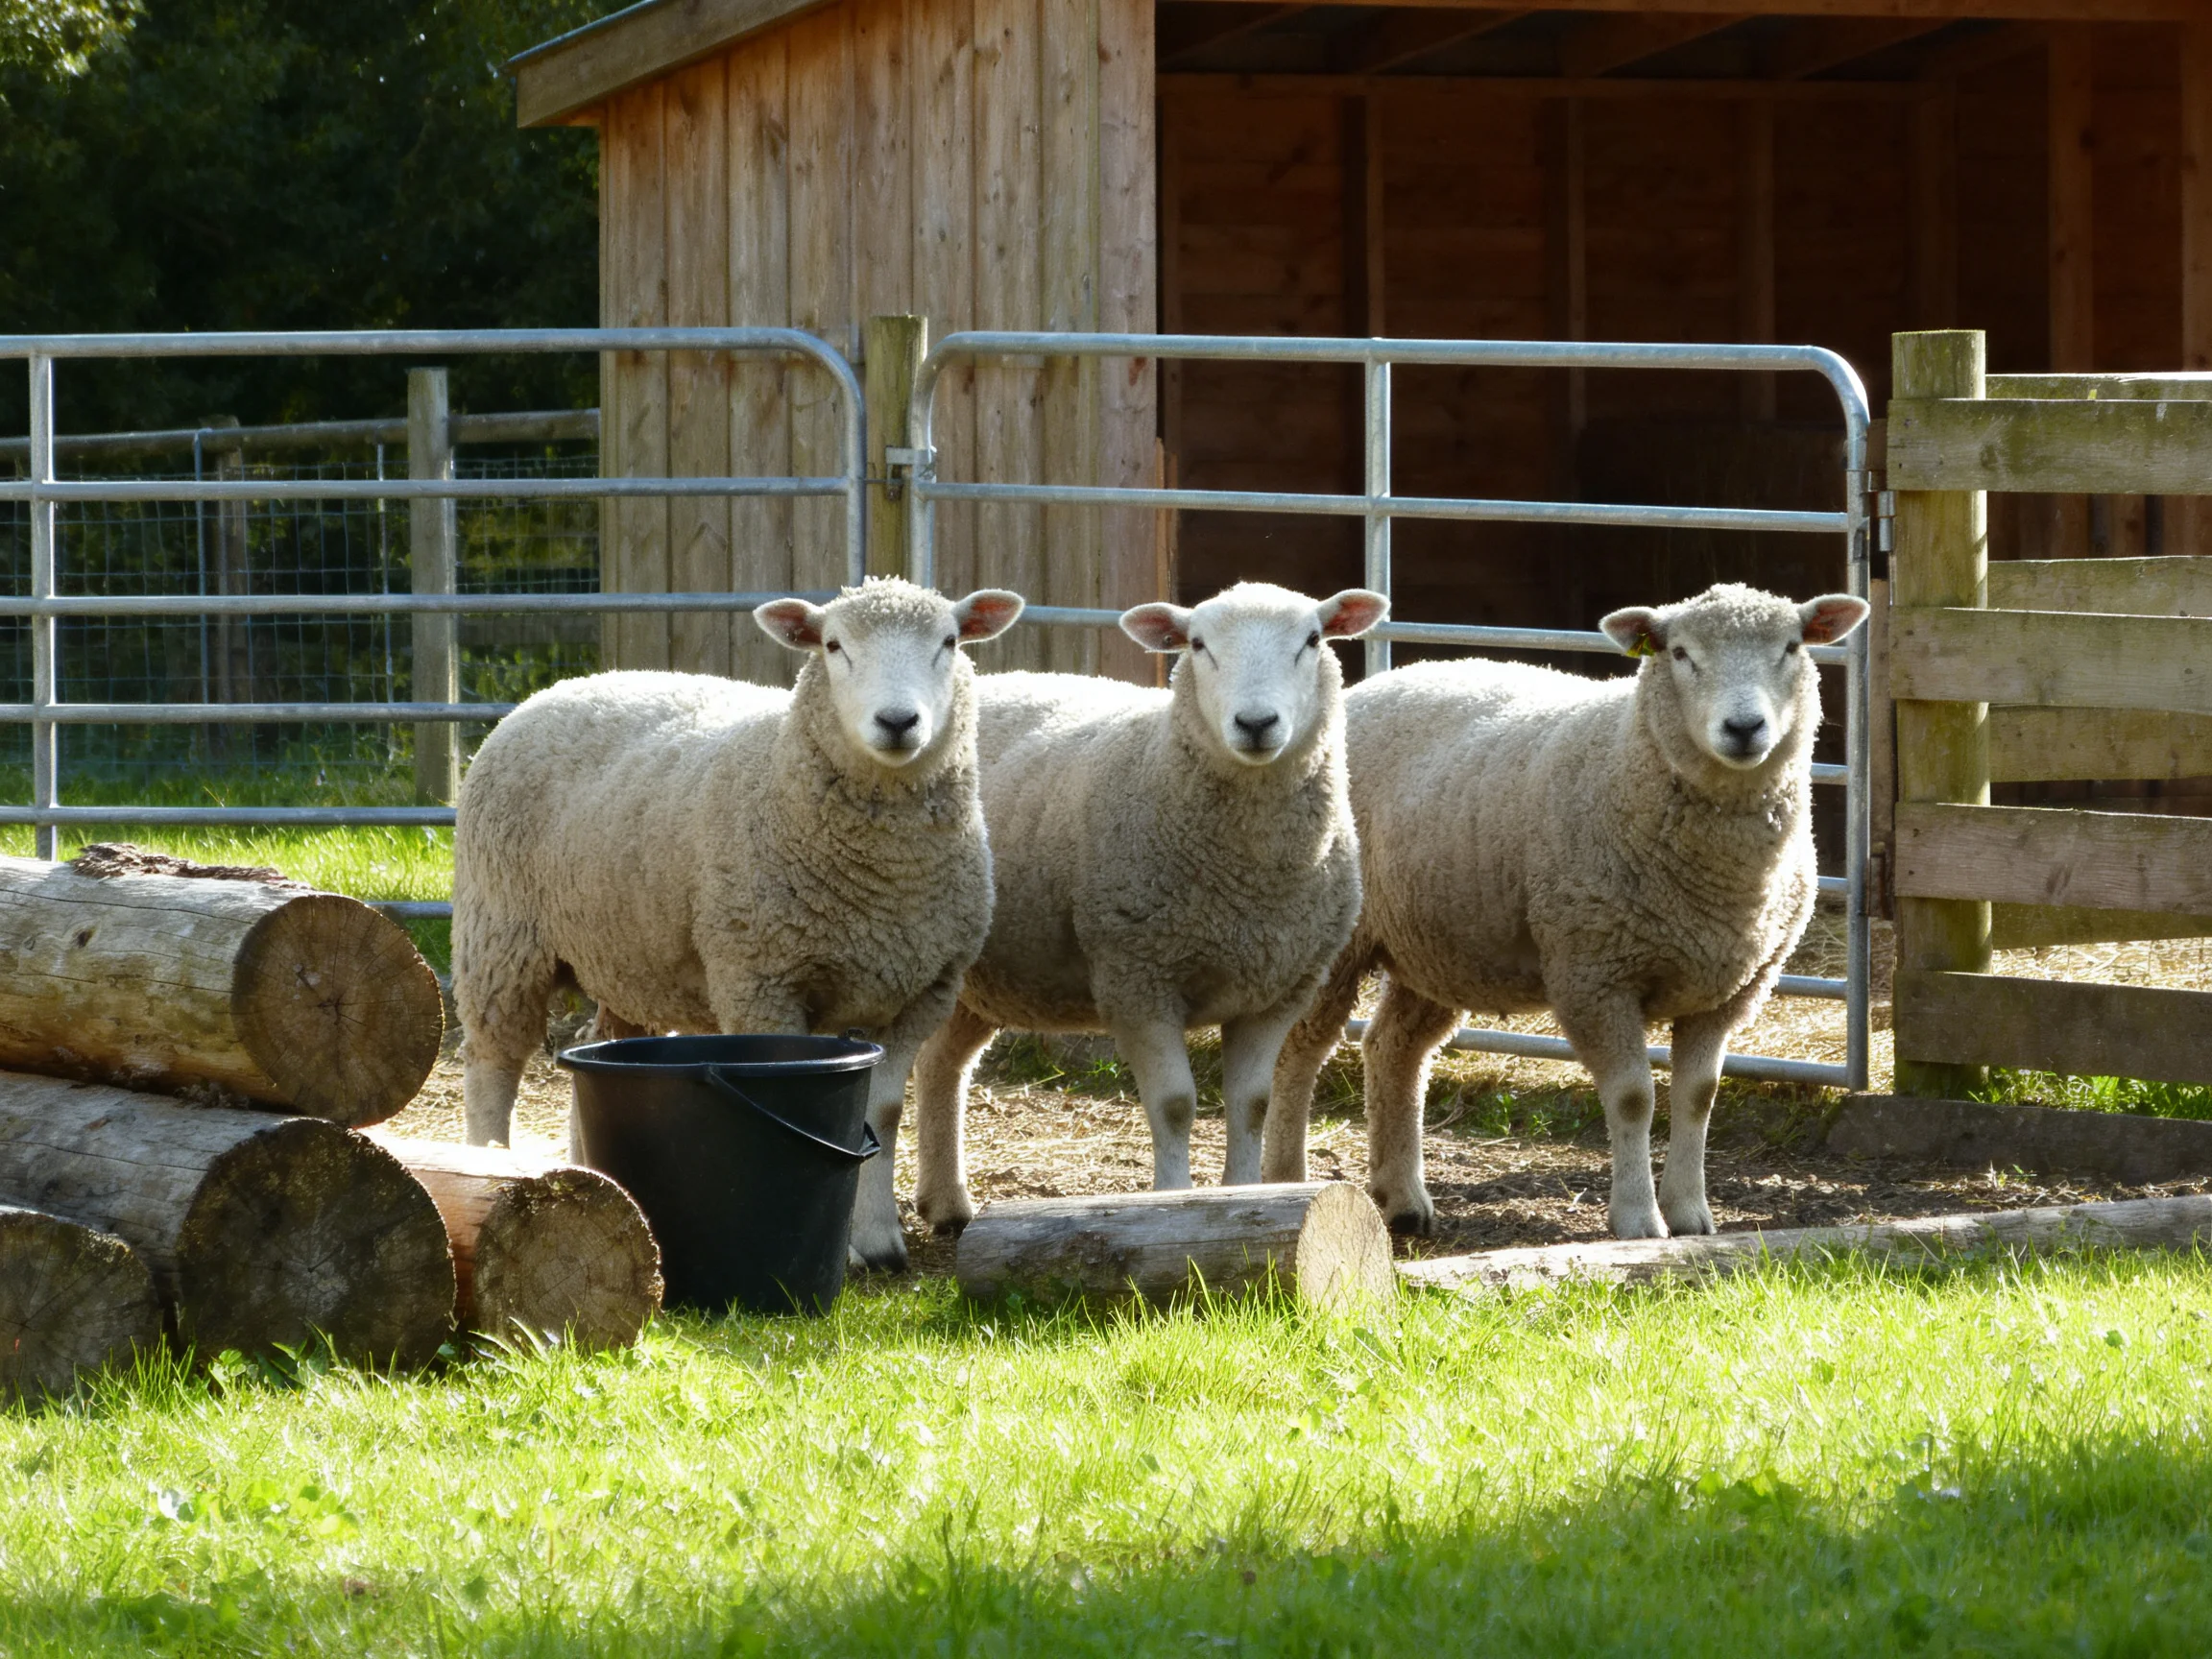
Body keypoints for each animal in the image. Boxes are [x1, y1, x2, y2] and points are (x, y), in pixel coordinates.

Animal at [451, 577, 1024, 1273]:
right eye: (834, 646)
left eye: (949, 642)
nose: (897, 722)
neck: (883, 883)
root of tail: (566, 684)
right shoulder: (761, 982)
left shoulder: (921, 994)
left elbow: (883, 1114)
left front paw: (878, 1242)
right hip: (501, 935)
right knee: (493, 1065)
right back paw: (485, 1169)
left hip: (626, 956)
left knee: (603, 1052)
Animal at [908, 581, 1389, 1234]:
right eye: (1199, 644)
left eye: (1312, 639)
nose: (1256, 723)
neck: (1248, 881)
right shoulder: (1138, 978)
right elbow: (1175, 1104)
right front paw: (1170, 1201)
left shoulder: (1277, 991)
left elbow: (1252, 1105)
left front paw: (1243, 1197)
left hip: (986, 977)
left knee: (940, 1065)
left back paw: (946, 1203)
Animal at [1263, 582, 1869, 1241]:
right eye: (1680, 652)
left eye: (1792, 647)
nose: (1743, 727)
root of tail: (1370, 688)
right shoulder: (1593, 973)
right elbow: (1633, 1097)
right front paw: (1638, 1219)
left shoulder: (1732, 987)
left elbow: (1698, 1095)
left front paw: (1689, 1214)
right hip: (1333, 938)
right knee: (1297, 1049)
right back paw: (1282, 1181)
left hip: (1440, 941)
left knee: (1393, 1047)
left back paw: (1401, 1200)